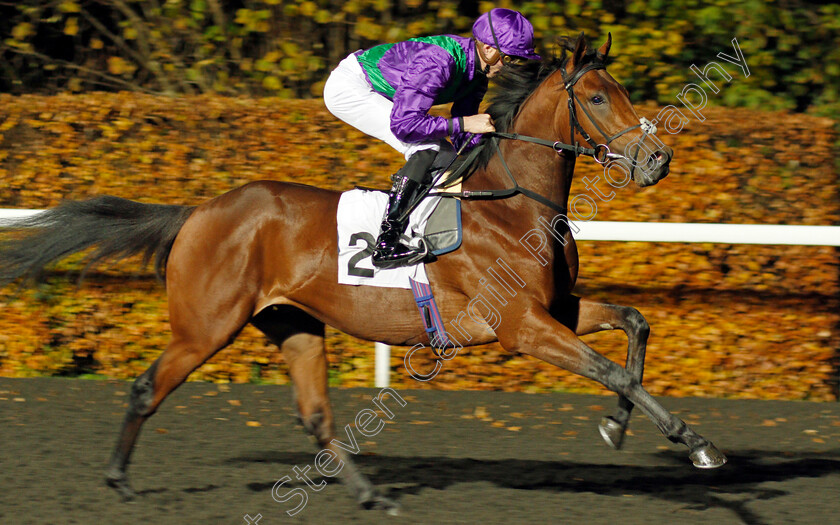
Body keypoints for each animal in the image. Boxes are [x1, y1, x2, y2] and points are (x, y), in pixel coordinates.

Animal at [0, 35, 720, 512]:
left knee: (315, 414)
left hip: (292, 323)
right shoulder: (522, 327)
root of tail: (199, 211)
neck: (514, 203)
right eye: (598, 96)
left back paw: (374, 494)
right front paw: (695, 442)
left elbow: (635, 323)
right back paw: (118, 479)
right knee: (148, 385)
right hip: (206, 324)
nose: (657, 159)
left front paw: (620, 426)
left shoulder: (557, 308)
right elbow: (615, 369)